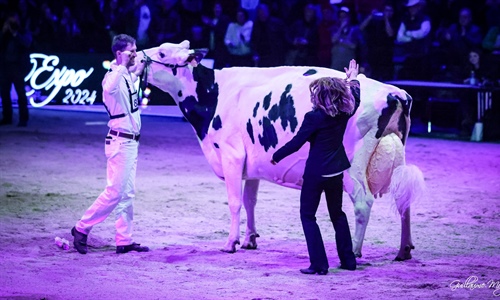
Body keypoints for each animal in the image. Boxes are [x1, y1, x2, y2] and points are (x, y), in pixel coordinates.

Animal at [135, 41, 424, 262]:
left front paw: (231, 243)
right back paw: (404, 250)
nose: (136, 56)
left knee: (363, 203)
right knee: (405, 198)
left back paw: (354, 250)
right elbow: (250, 201)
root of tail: (395, 92)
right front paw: (250, 239)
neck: (214, 94)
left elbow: (235, 202)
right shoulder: (251, 163)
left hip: (352, 167)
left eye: (162, 53)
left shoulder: (231, 155)